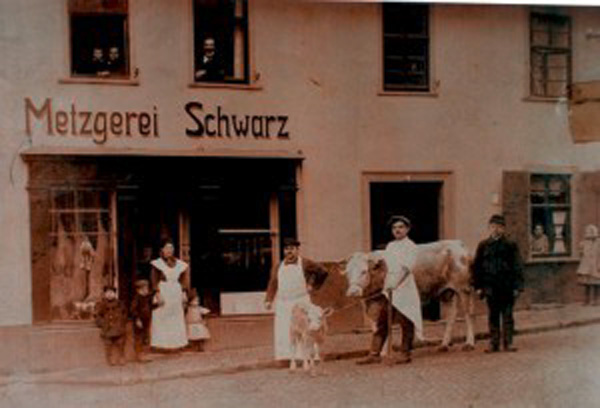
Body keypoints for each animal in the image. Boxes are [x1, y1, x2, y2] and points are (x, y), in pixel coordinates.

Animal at [344, 241, 476, 352]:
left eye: (364, 271)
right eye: (348, 273)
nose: (353, 291)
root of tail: (458, 244)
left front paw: (384, 352)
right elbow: (377, 326)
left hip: (463, 288)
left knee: (468, 314)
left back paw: (469, 343)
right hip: (447, 292)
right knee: (451, 315)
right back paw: (444, 345)